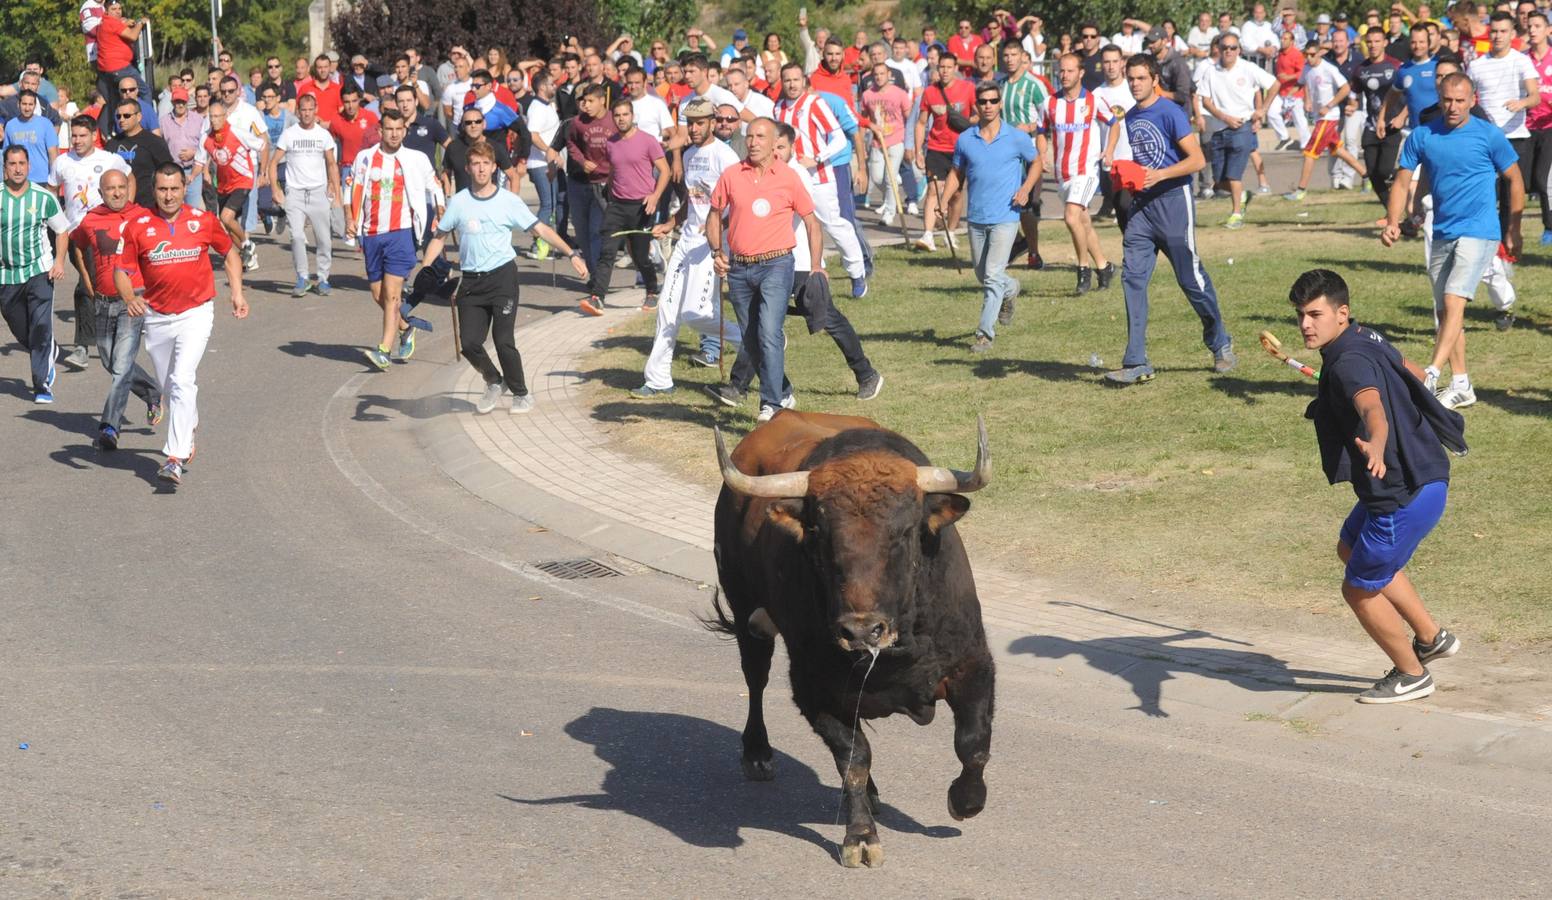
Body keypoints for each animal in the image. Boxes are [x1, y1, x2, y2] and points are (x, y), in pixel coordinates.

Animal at [710, 412, 993, 868]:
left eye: (905, 531)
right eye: (819, 532)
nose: (861, 630)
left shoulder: (974, 665)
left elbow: (972, 744)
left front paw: (965, 800)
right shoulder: (815, 689)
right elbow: (854, 757)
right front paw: (860, 836)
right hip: (744, 610)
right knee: (755, 679)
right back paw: (757, 753)